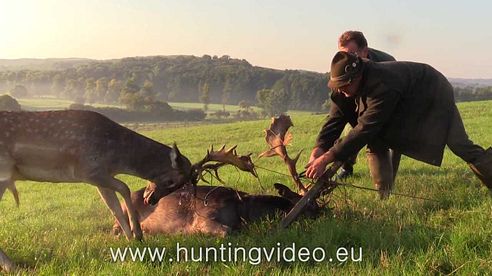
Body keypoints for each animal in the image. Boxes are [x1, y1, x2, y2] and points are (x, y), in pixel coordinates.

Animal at [0, 110, 196, 272]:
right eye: (171, 181)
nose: (151, 200)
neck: (117, 157)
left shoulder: (100, 178)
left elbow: (114, 207)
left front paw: (131, 241)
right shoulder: (87, 170)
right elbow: (125, 188)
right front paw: (137, 234)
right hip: (4, 172)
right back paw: (13, 267)